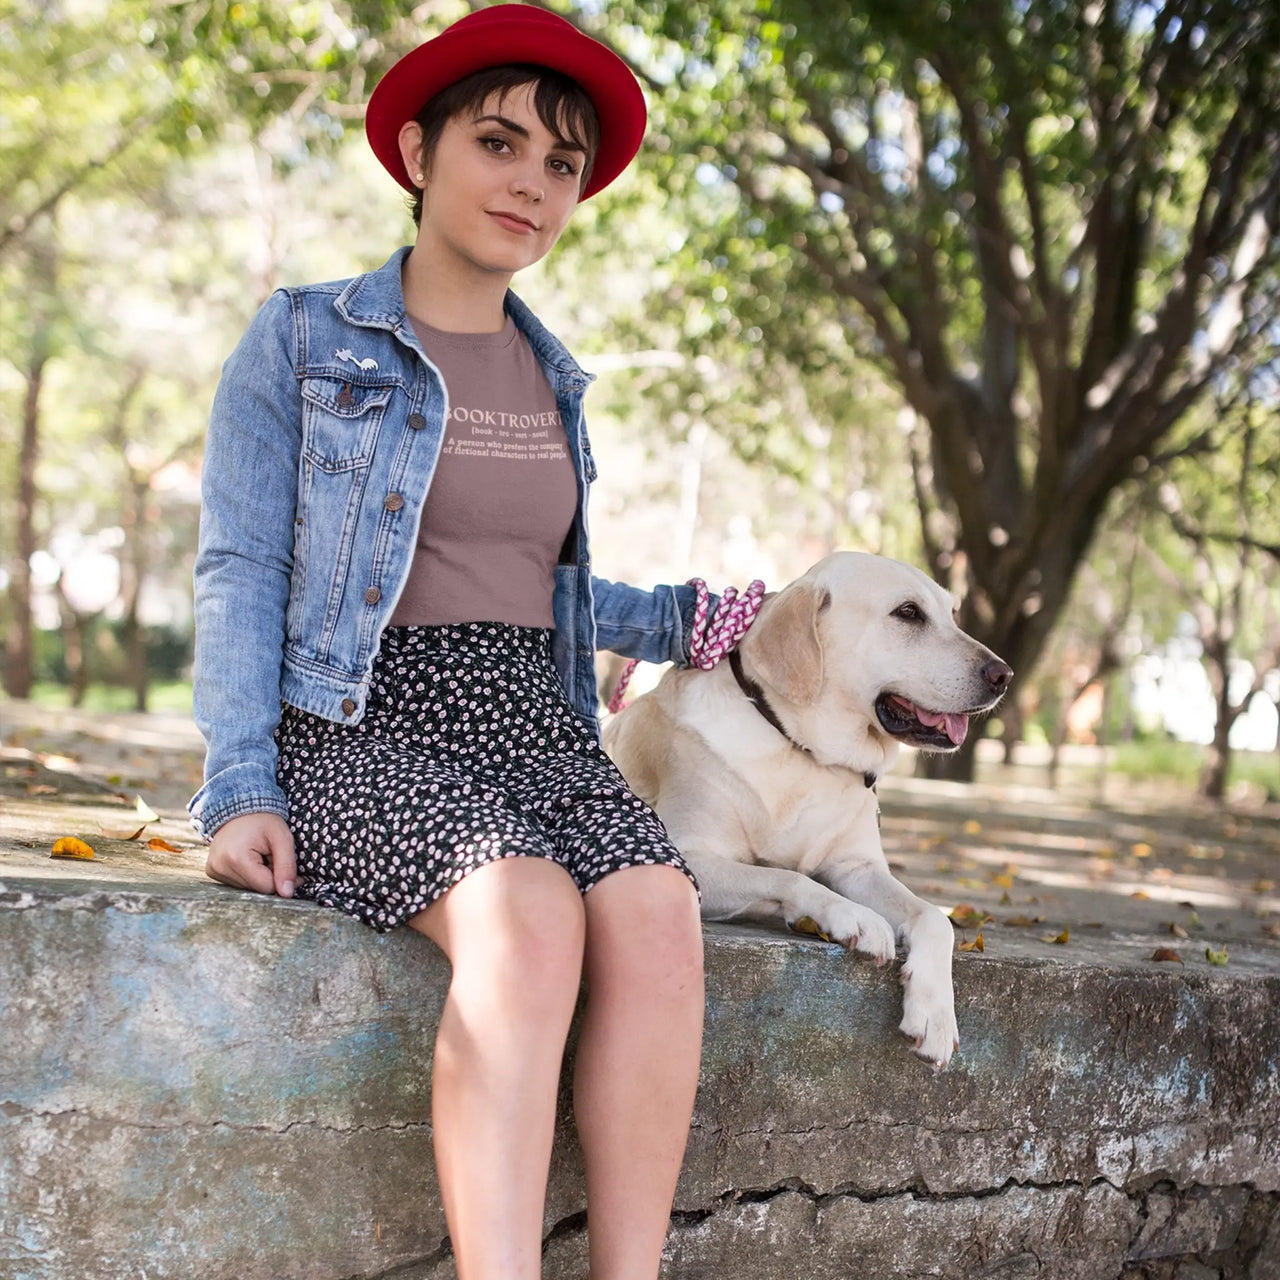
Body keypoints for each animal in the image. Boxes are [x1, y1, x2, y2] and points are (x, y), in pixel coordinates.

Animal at [604, 552, 1013, 1070]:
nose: (1004, 675)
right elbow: (788, 876)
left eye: (953, 614)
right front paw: (851, 916)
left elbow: (935, 919)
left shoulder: (859, 867)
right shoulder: (690, 858)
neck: (802, 749)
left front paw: (935, 1014)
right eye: (908, 613)